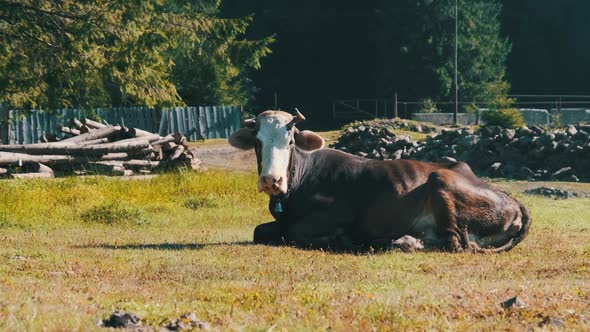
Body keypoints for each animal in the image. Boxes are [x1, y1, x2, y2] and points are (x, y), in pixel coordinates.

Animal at [229, 110, 536, 253]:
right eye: (257, 143)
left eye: (290, 141)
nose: (272, 179)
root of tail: (512, 199)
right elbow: (259, 231)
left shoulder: (339, 213)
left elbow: (294, 233)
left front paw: (339, 239)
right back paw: (401, 240)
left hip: (440, 179)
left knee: (455, 243)